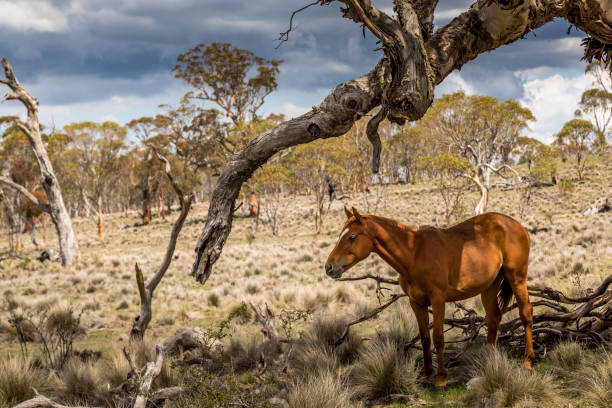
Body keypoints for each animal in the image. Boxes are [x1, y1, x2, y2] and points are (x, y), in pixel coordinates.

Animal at [326, 209, 532, 388]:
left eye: (352, 237)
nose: (329, 267)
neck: (414, 254)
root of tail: (517, 226)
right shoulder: (416, 302)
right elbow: (425, 338)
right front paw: (426, 376)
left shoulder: (438, 299)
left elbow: (438, 337)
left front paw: (441, 378)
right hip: (489, 286)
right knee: (494, 317)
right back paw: (488, 358)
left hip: (517, 278)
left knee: (525, 314)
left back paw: (528, 361)